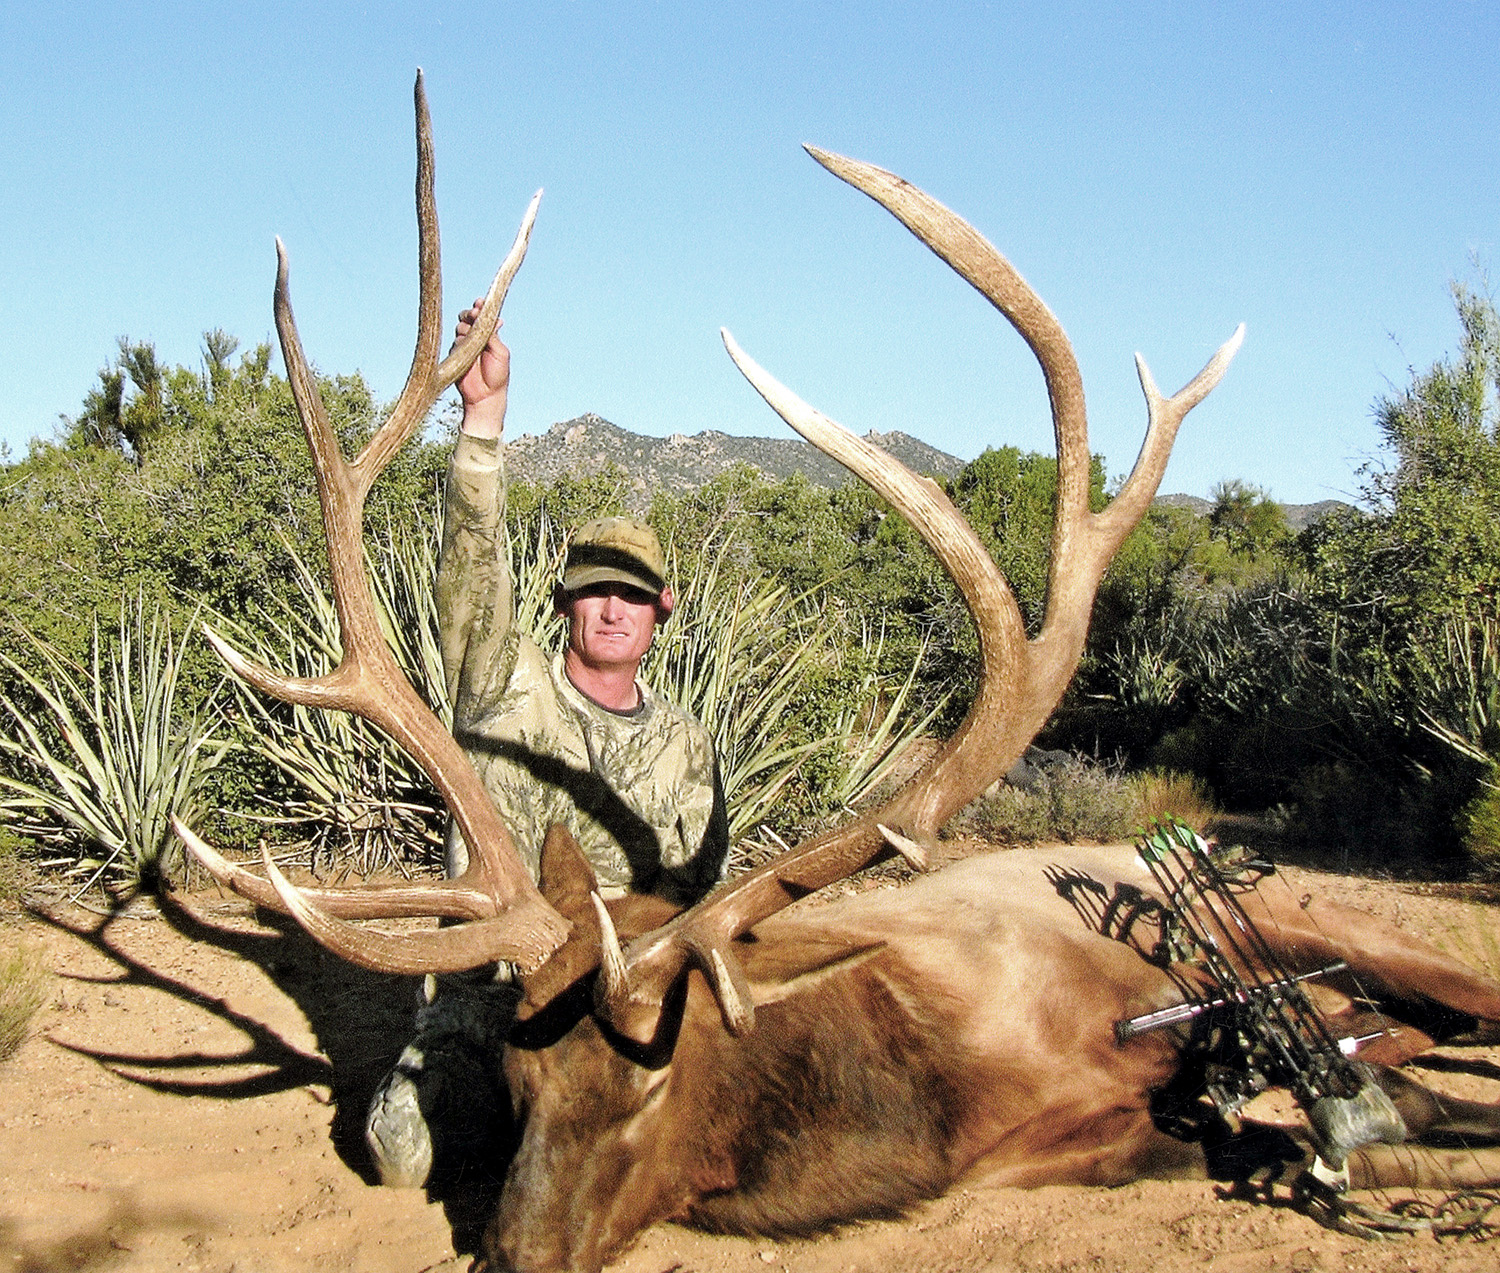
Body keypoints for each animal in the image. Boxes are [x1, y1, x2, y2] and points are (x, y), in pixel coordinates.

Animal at [175, 74, 1500, 1273]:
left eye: (650, 1082)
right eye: (517, 1075)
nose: (513, 1256)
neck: (924, 1088)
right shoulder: (1082, 1141)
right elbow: (1327, 1127)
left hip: (1338, 921)